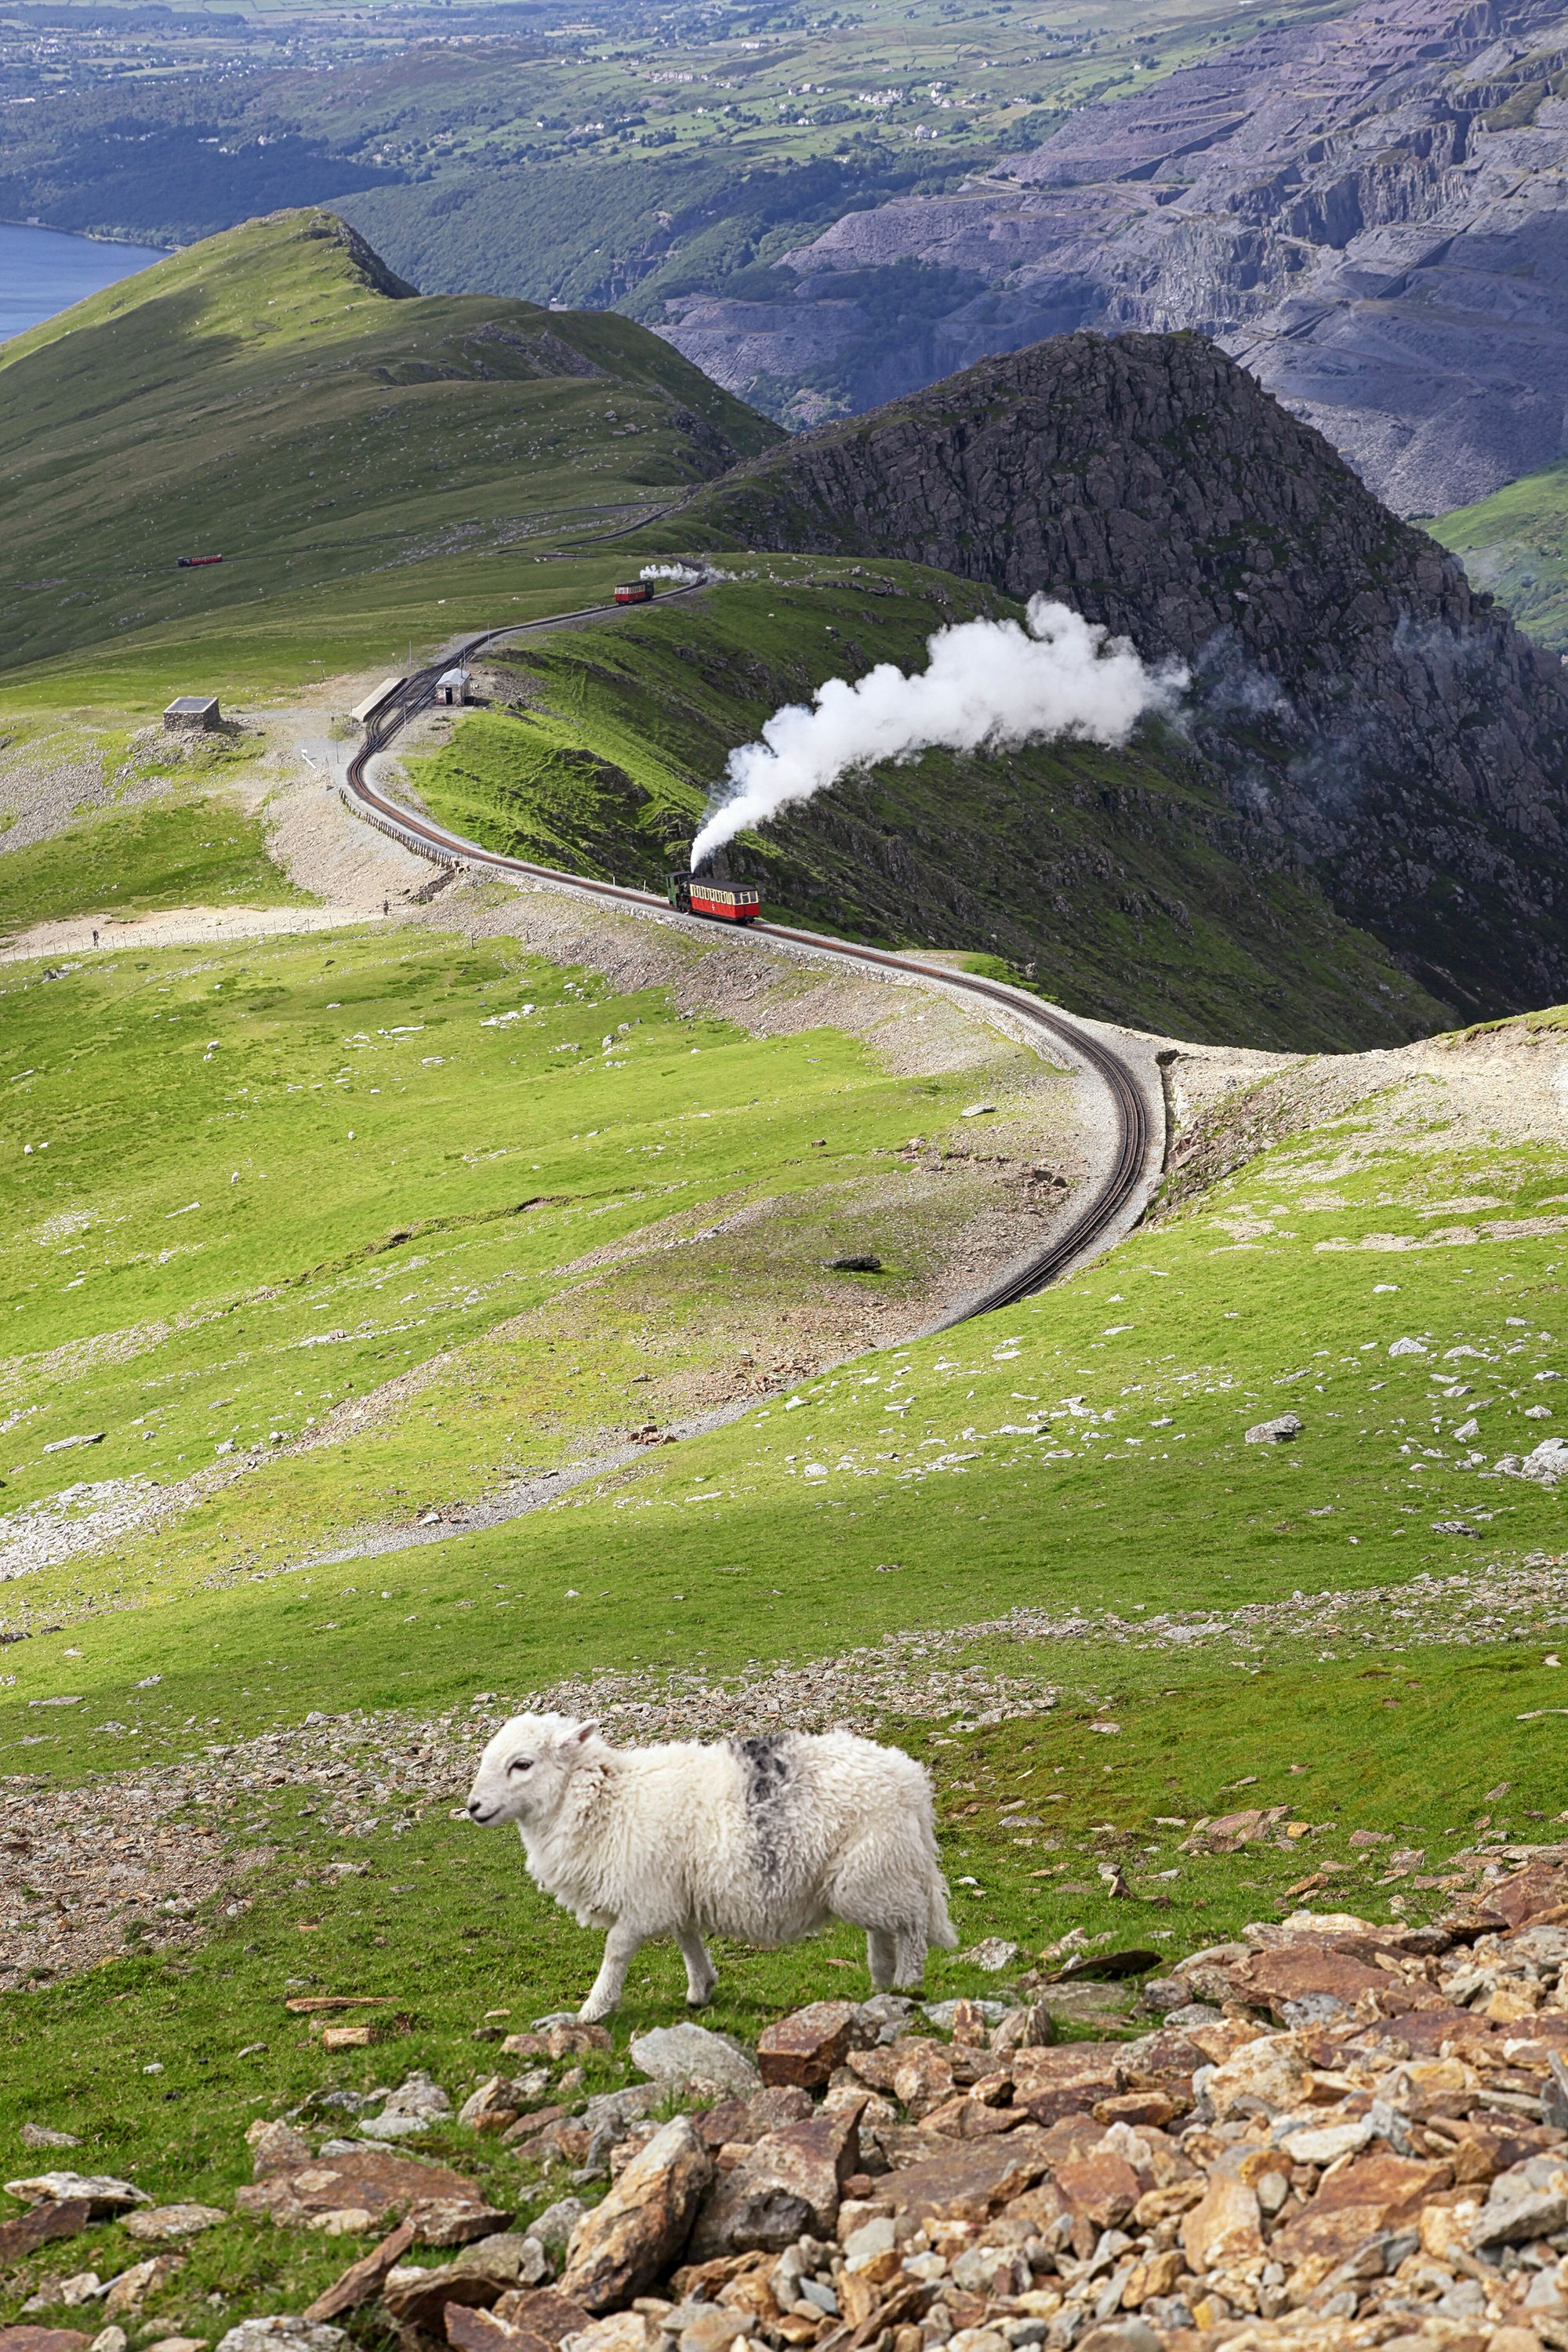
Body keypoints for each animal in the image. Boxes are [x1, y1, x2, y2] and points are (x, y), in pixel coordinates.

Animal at [465, 1712, 959, 2023]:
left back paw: (908, 1983)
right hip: (874, 1872)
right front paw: (701, 1988)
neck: (606, 1801)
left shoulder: (644, 1898)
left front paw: (593, 2009)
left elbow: (616, 1950)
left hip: (870, 1870)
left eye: (522, 1764)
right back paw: (882, 1980)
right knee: (886, 1927)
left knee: (913, 1924)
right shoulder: (674, 1894)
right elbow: (687, 1940)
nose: (472, 1807)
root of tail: (913, 1782)